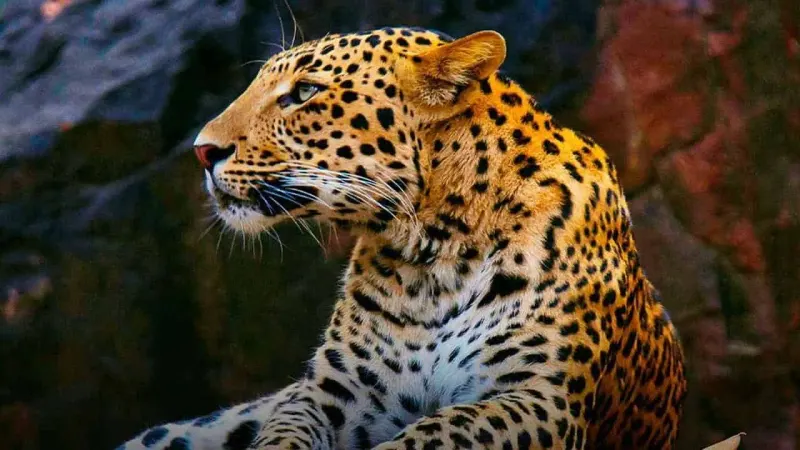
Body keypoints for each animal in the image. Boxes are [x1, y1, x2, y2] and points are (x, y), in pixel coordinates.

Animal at [118, 27, 687, 450]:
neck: (436, 253)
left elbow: (442, 430)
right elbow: (284, 429)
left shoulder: (536, 398)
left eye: (305, 93)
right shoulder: (334, 391)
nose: (202, 150)